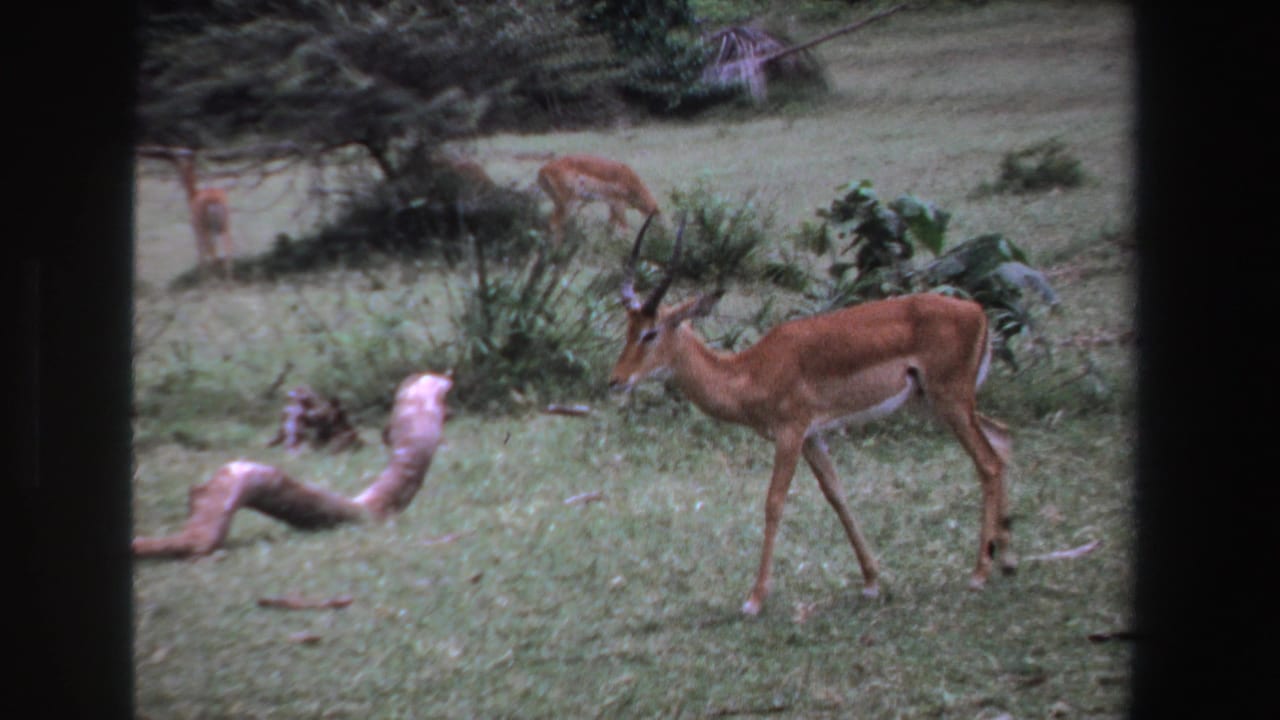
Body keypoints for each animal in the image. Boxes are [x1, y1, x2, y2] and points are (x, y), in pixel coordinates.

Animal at [608, 215, 1014, 615]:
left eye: (651, 333)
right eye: (628, 328)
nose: (615, 380)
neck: (751, 370)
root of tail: (978, 312)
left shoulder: (790, 433)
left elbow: (773, 502)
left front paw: (754, 598)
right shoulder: (813, 436)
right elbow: (836, 494)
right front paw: (871, 580)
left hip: (951, 403)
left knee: (988, 462)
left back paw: (979, 573)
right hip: (936, 405)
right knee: (1002, 438)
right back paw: (1007, 560)